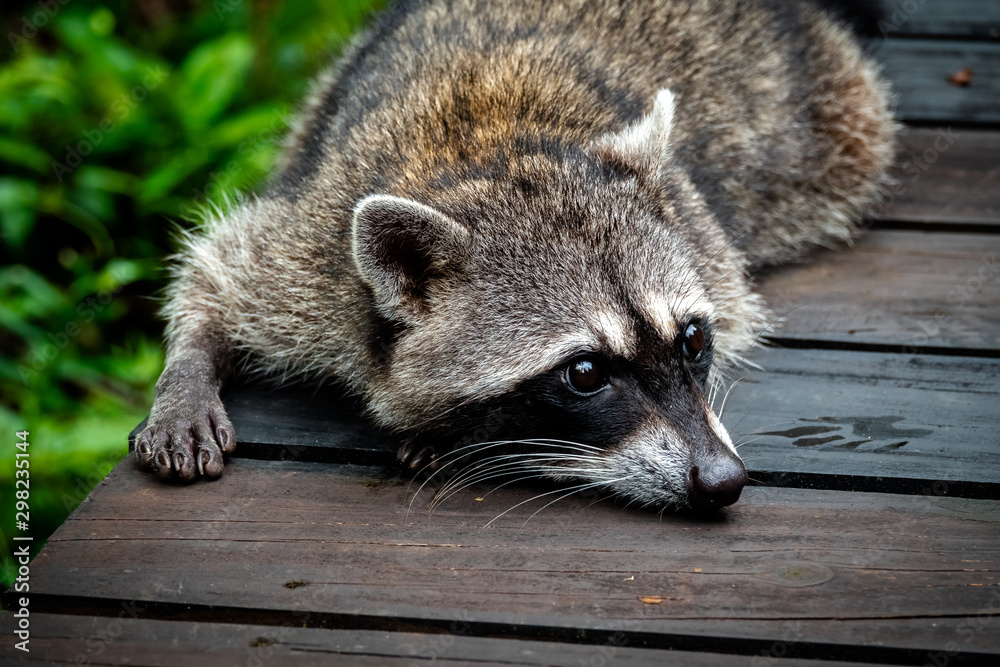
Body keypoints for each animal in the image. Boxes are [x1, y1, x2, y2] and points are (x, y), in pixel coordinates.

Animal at [135, 0, 894, 511]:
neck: (492, 153)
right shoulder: (317, 251)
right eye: (584, 373)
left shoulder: (705, 242)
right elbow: (220, 266)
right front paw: (188, 367)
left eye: (691, 341)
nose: (723, 480)